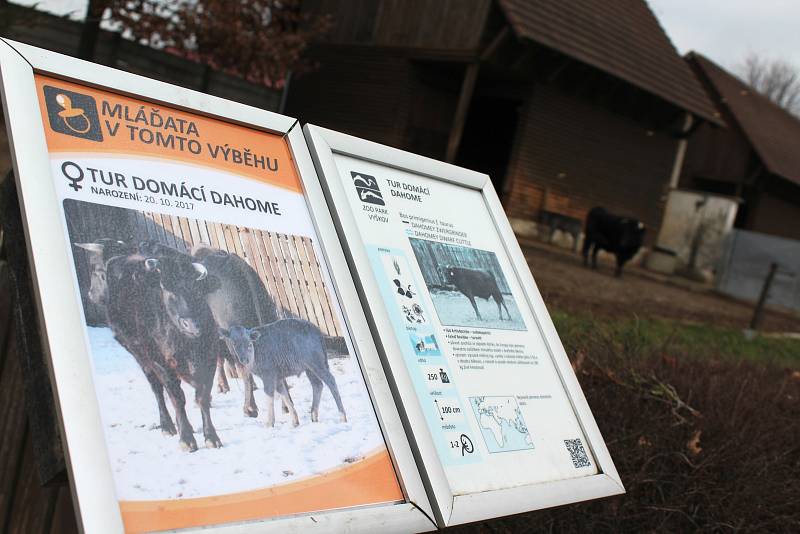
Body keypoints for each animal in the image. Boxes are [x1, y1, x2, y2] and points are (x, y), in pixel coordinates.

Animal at [104, 252, 222, 452]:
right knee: (158, 389)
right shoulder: (159, 362)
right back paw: (167, 425)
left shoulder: (210, 358)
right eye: (168, 291)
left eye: (197, 290)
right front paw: (186, 439)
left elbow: (202, 396)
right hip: (139, 355)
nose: (192, 325)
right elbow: (177, 398)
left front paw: (211, 436)